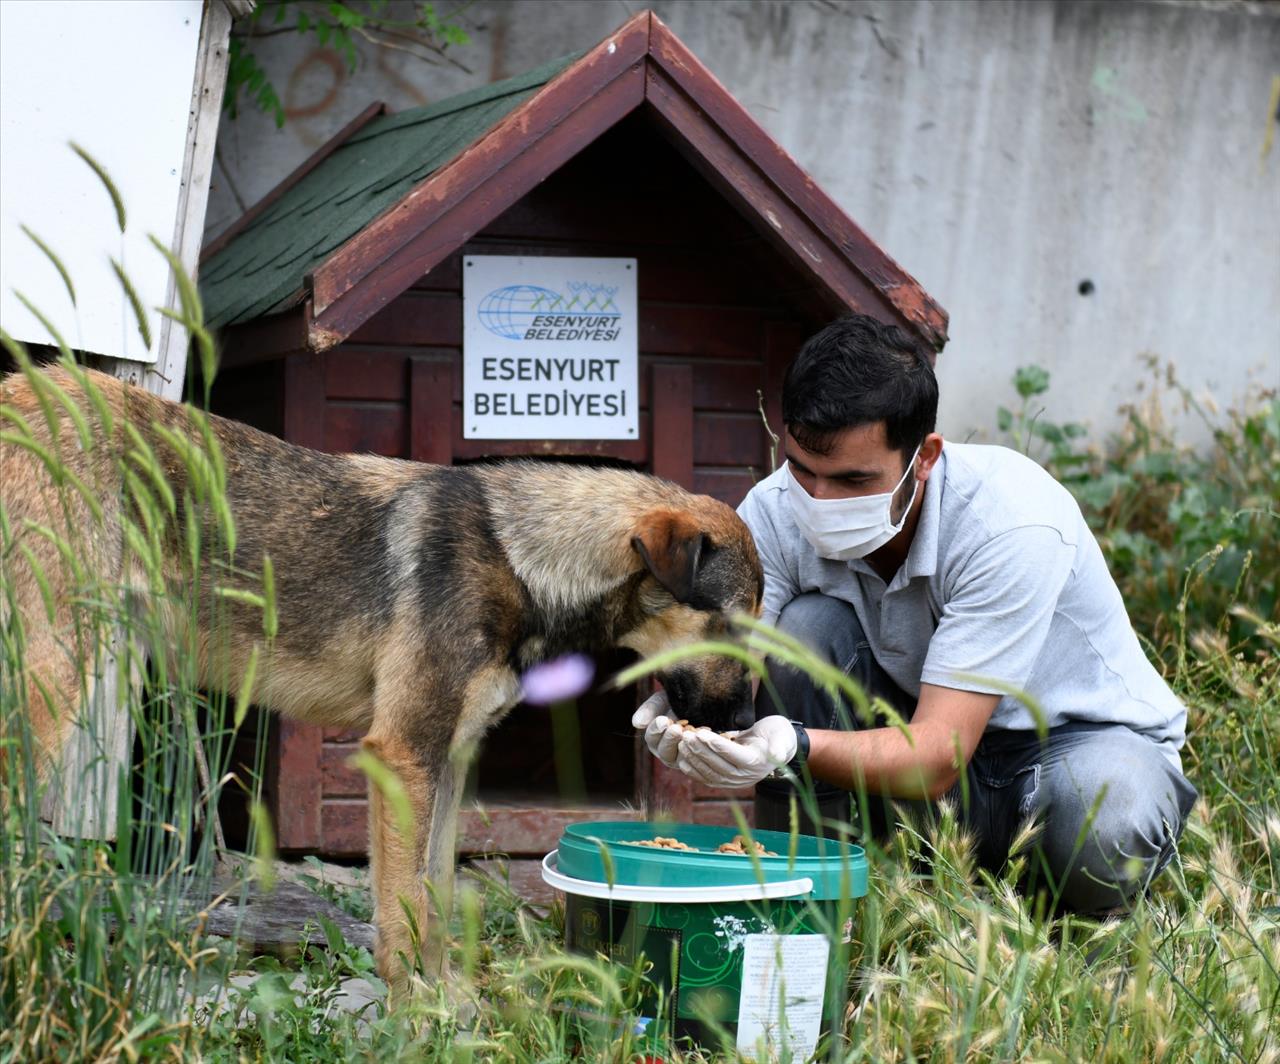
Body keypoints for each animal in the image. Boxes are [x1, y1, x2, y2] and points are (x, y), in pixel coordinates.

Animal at [0, 366, 757, 988]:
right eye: (731, 627)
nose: (747, 725)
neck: (520, 554)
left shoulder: (447, 764)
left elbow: (436, 901)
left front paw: (449, 1012)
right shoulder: (403, 755)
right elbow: (404, 913)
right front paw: (415, 1018)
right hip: (50, 687)